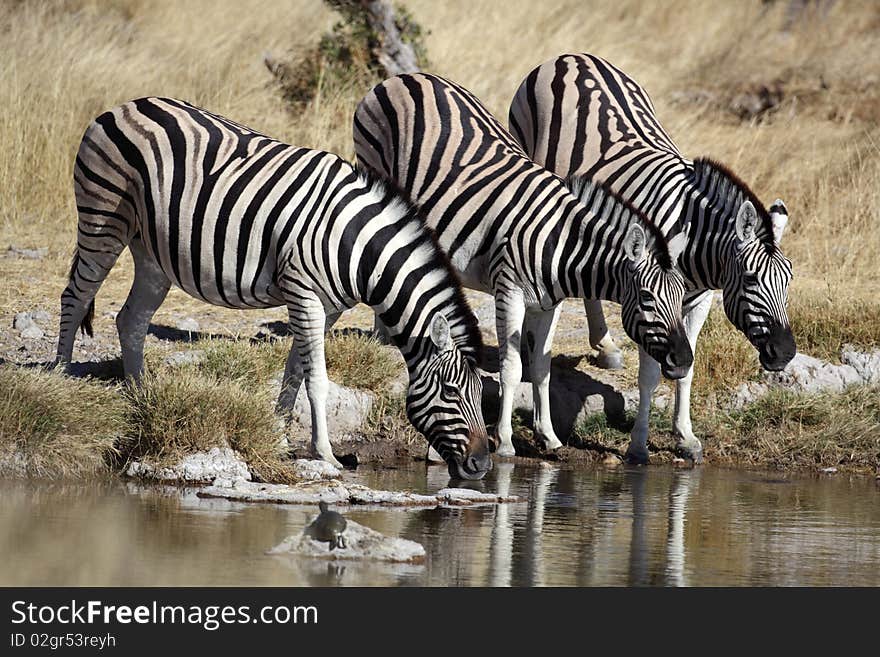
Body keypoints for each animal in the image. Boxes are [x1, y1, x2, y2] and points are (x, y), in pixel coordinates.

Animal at [57, 95, 492, 480]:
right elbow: (317, 379)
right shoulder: (303, 291)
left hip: (151, 252)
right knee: (75, 297)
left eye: (480, 394)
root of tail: (123, 106)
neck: (359, 249)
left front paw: (280, 436)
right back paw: (60, 377)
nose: (482, 465)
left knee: (131, 319)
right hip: (103, 218)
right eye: (452, 392)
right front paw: (326, 454)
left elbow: (295, 371)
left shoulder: (328, 306)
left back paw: (140, 398)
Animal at [352, 73, 696, 456]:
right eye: (648, 298)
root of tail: (405, 77)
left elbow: (542, 367)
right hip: (376, 171)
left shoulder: (549, 303)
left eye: (683, 298)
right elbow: (512, 368)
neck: (561, 245)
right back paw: (383, 335)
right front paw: (504, 442)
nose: (684, 361)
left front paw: (548, 436)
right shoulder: (508, 291)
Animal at [508, 52, 796, 462]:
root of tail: (571, 56)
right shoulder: (653, 301)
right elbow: (650, 375)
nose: (785, 354)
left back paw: (606, 347)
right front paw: (639, 445)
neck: (693, 245)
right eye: (752, 279)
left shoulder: (699, 302)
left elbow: (688, 367)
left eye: (788, 279)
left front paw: (685, 437)